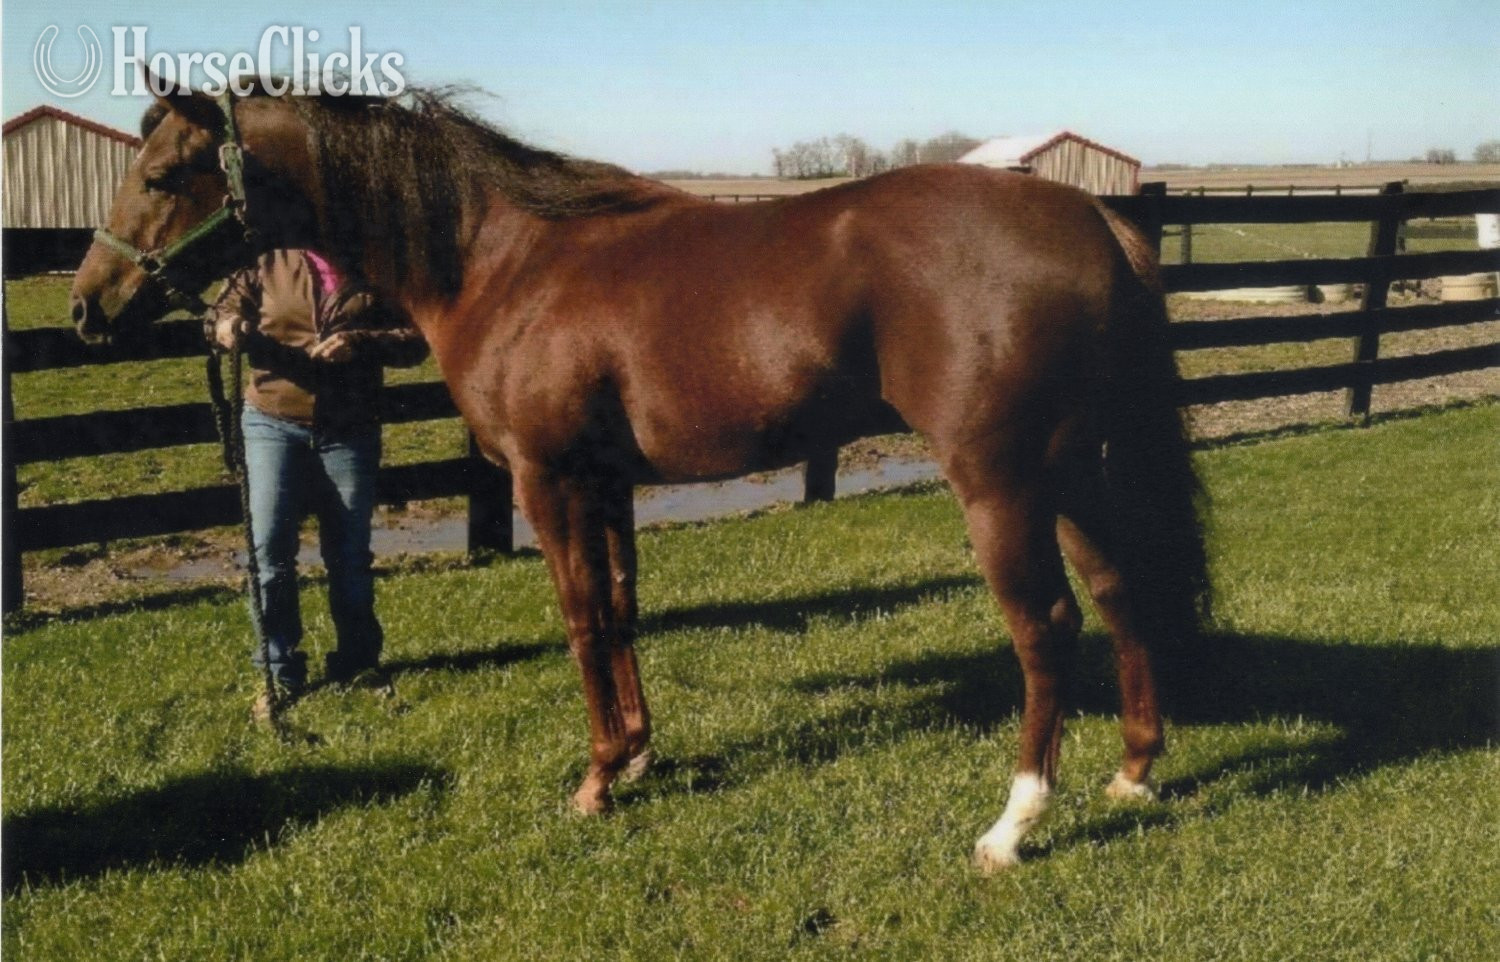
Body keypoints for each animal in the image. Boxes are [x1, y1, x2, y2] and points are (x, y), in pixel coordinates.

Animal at [71, 79, 1209, 871]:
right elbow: (621, 608)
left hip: (1002, 483)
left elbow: (582, 618)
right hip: (1072, 470)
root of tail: (1092, 218)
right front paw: (641, 752)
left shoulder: (548, 480)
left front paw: (595, 780)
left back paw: (1012, 825)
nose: (89, 304)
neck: (506, 259)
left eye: (163, 175)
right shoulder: (607, 482)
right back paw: (1133, 772)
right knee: (1120, 593)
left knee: (1046, 627)